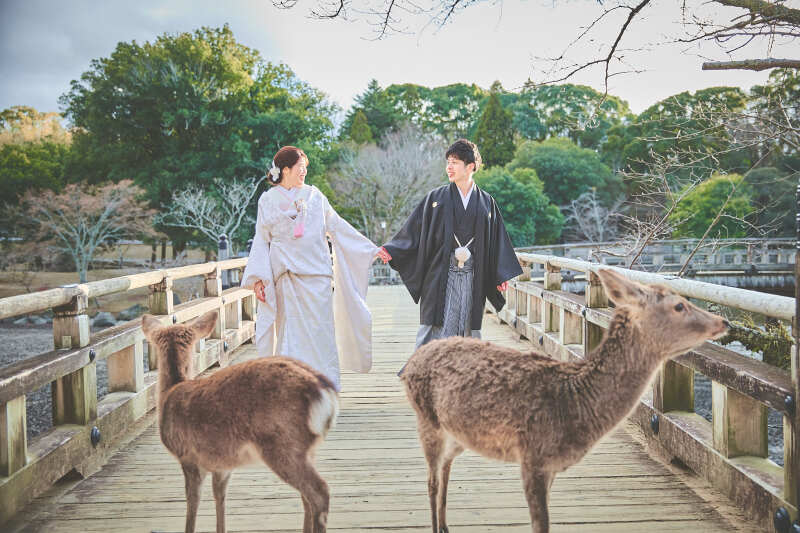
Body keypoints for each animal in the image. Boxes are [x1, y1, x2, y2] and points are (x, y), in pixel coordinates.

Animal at [141, 310, 339, 533]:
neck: (170, 393)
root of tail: (325, 393)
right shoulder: (222, 463)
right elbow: (220, 497)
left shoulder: (188, 456)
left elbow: (193, 502)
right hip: (306, 449)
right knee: (307, 497)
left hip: (283, 445)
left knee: (319, 492)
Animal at [400, 268, 729, 533]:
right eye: (679, 305)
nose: (723, 320)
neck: (573, 403)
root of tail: (411, 364)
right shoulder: (532, 455)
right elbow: (540, 525)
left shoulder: (550, 466)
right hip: (426, 419)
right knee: (431, 479)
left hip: (459, 433)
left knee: (445, 468)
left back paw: (446, 526)